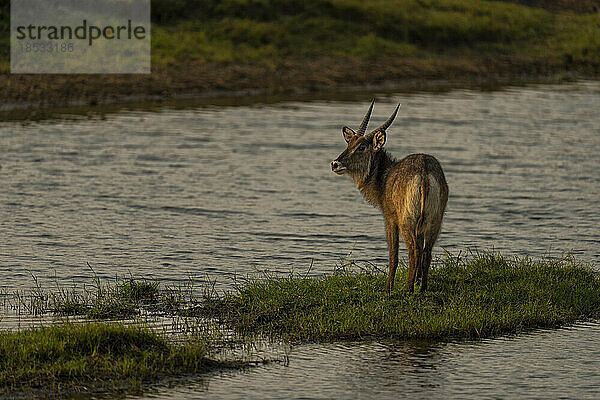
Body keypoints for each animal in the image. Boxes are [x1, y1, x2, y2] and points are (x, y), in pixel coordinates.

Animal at [330, 101, 448, 294]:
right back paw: (422, 288)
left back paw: (407, 290)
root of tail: (424, 171)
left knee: (414, 251)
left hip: (407, 220)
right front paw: (417, 281)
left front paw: (388, 288)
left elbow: (393, 254)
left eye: (361, 147)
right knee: (426, 252)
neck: (383, 177)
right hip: (434, 220)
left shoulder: (389, 218)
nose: (335, 164)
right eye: (349, 144)